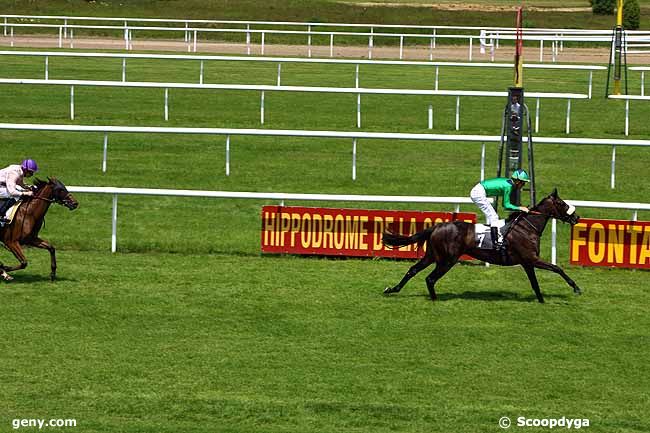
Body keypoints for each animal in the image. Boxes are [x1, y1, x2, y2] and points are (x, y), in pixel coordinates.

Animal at [380, 189, 576, 304]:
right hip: (447, 260)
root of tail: (437, 226)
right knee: (430, 278)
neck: (526, 228)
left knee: (413, 270)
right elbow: (557, 268)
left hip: (432, 256)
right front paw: (575, 288)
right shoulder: (532, 259)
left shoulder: (527, 262)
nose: (576, 217)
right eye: (562, 203)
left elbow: (535, 283)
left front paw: (541, 300)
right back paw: (435, 299)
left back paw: (392, 289)